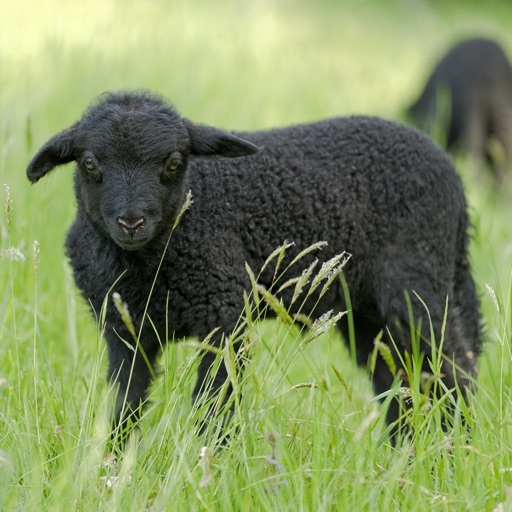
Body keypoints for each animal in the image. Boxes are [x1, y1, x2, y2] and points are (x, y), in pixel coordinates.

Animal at [27, 89, 482, 443]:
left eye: (173, 162)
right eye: (90, 163)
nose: (131, 222)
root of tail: (456, 181)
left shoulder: (225, 316)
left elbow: (214, 407)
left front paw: (208, 469)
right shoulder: (125, 332)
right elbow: (124, 407)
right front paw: (114, 468)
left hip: (417, 282)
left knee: (454, 371)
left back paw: (456, 452)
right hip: (367, 314)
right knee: (398, 384)